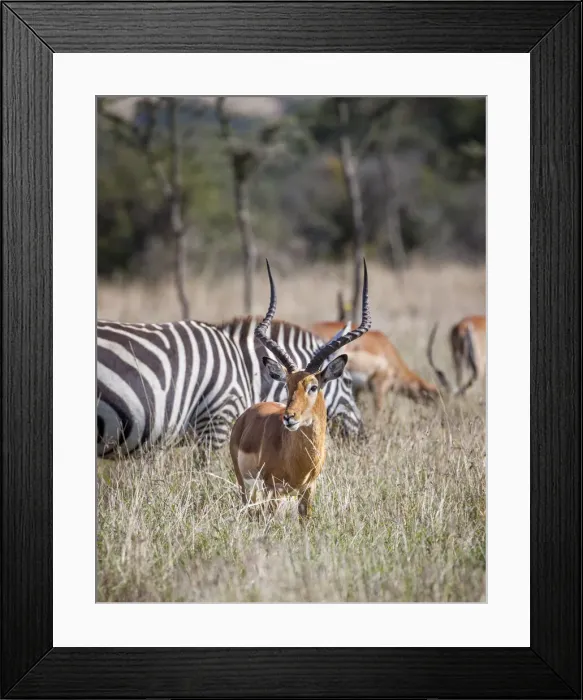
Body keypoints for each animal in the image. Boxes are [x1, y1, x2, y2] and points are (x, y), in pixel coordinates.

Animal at [229, 260, 371, 518]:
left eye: (313, 386)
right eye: (287, 385)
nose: (289, 417)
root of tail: (248, 412)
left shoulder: (308, 490)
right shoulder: (273, 489)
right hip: (246, 486)